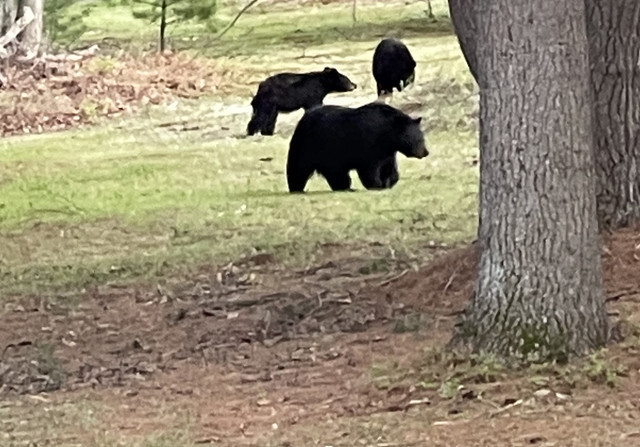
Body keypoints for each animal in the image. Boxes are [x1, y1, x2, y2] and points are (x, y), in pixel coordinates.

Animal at [286, 102, 428, 193]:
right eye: (420, 138)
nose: (425, 152)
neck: (388, 134)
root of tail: (303, 119)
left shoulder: (387, 150)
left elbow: (389, 166)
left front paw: (389, 182)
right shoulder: (369, 144)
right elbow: (370, 168)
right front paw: (376, 185)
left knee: (335, 172)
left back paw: (345, 187)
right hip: (309, 145)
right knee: (298, 167)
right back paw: (297, 188)